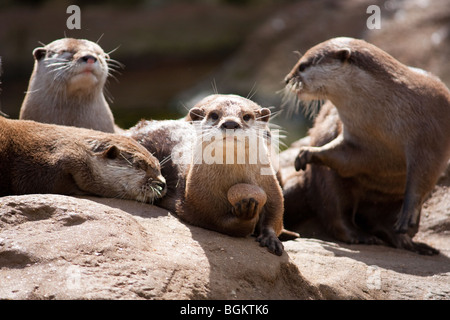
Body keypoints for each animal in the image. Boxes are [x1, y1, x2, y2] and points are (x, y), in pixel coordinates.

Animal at [127, 94, 284, 255]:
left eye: (246, 116)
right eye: (214, 115)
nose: (230, 123)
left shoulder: (270, 186)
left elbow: (275, 213)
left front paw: (271, 239)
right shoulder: (201, 201)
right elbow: (220, 222)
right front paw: (246, 213)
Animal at [284, 36, 450, 254]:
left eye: (302, 66)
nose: (287, 79)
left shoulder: (430, 137)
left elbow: (423, 176)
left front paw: (407, 215)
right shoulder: (355, 140)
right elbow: (344, 158)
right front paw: (308, 152)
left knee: (380, 221)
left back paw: (410, 243)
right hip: (325, 182)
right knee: (336, 211)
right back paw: (362, 236)